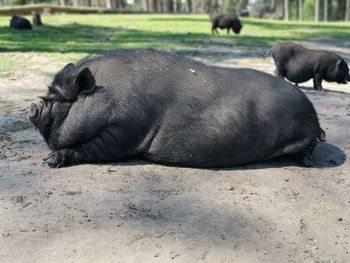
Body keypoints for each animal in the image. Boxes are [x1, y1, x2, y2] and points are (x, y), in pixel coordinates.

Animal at [30, 49, 326, 169]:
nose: (33, 107)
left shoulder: (127, 130)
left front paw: (51, 161)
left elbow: (93, 149)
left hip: (306, 133)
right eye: (48, 94)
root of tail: (315, 117)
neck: (106, 95)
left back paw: (306, 163)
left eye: (61, 101)